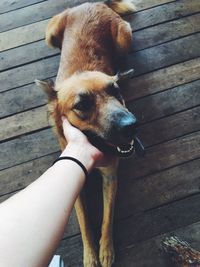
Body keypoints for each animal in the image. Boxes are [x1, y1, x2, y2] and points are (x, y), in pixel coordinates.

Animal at [35, 1, 139, 266]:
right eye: (81, 105)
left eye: (116, 92)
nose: (131, 125)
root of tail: (93, 3)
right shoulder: (76, 186)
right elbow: (84, 223)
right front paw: (91, 255)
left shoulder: (111, 176)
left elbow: (107, 217)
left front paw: (106, 251)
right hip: (50, 35)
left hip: (123, 38)